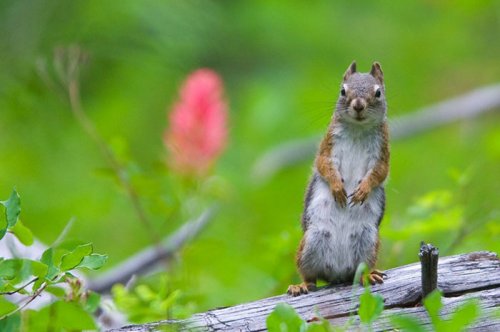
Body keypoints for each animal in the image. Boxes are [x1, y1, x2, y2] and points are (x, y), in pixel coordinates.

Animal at [288, 61, 388, 296]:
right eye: (343, 91)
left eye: (378, 93)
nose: (358, 105)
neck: (358, 128)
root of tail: (337, 274)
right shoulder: (328, 146)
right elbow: (324, 165)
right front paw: (336, 188)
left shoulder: (383, 152)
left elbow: (380, 172)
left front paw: (363, 190)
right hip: (311, 242)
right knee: (310, 277)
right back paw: (301, 285)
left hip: (367, 241)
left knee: (360, 270)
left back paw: (368, 275)